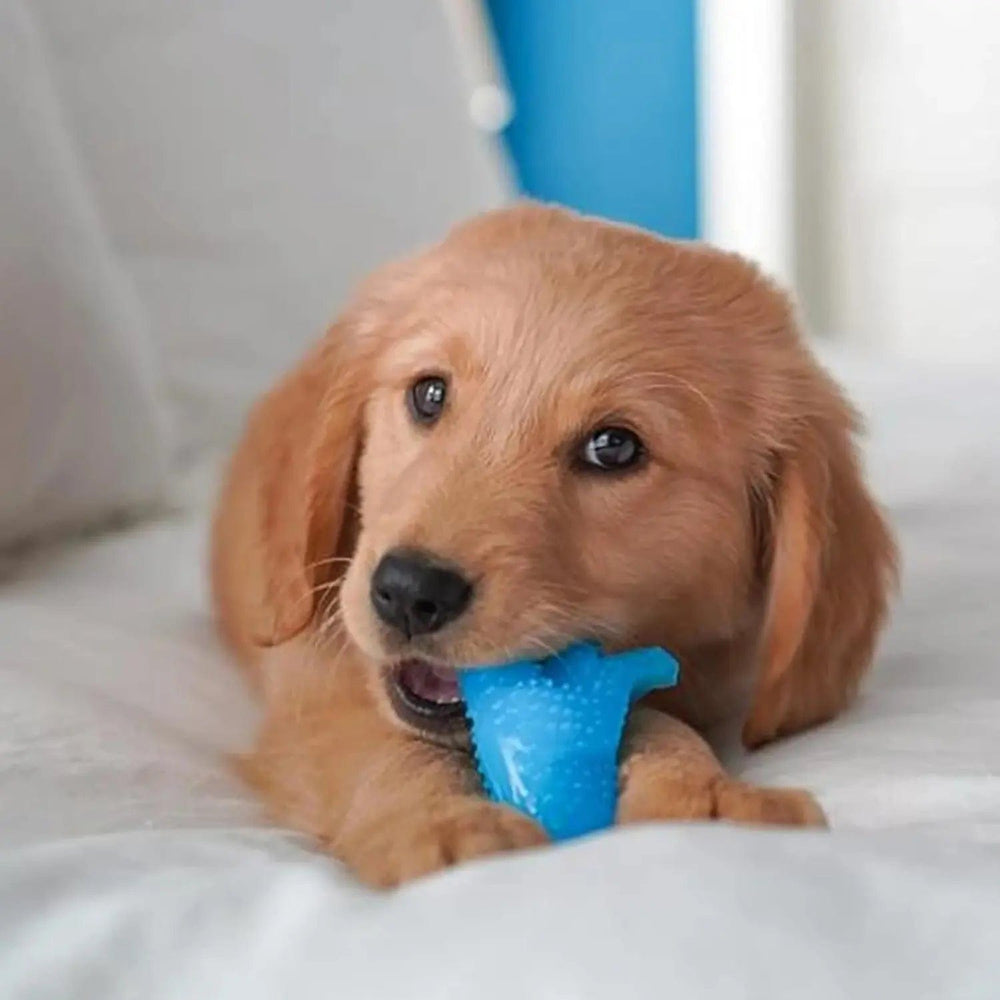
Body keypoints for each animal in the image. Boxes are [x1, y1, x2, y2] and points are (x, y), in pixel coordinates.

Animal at [211, 201, 900, 884]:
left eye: (613, 447)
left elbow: (659, 719)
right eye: (429, 394)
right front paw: (444, 823)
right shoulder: (316, 669)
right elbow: (376, 743)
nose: (409, 592)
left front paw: (704, 793)